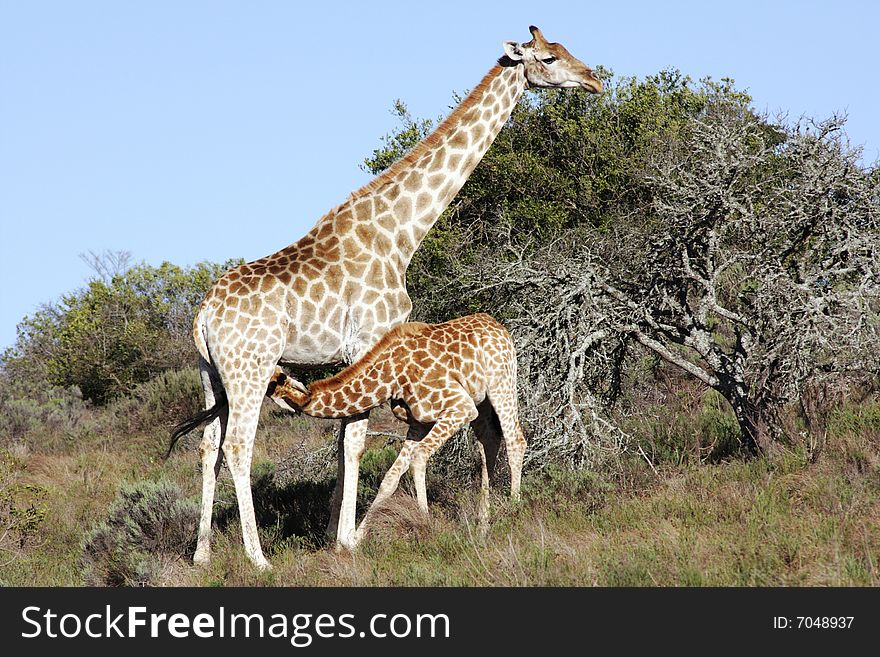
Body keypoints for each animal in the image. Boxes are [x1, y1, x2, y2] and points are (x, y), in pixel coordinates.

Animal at [268, 312, 524, 544]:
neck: (392, 379)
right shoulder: (418, 423)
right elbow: (390, 478)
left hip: (501, 384)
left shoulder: (460, 406)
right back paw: (483, 525)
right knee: (490, 443)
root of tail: (498, 326)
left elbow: (419, 457)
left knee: (516, 440)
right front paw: (357, 539)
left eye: (271, 379)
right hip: (481, 401)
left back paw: (513, 508)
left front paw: (424, 522)